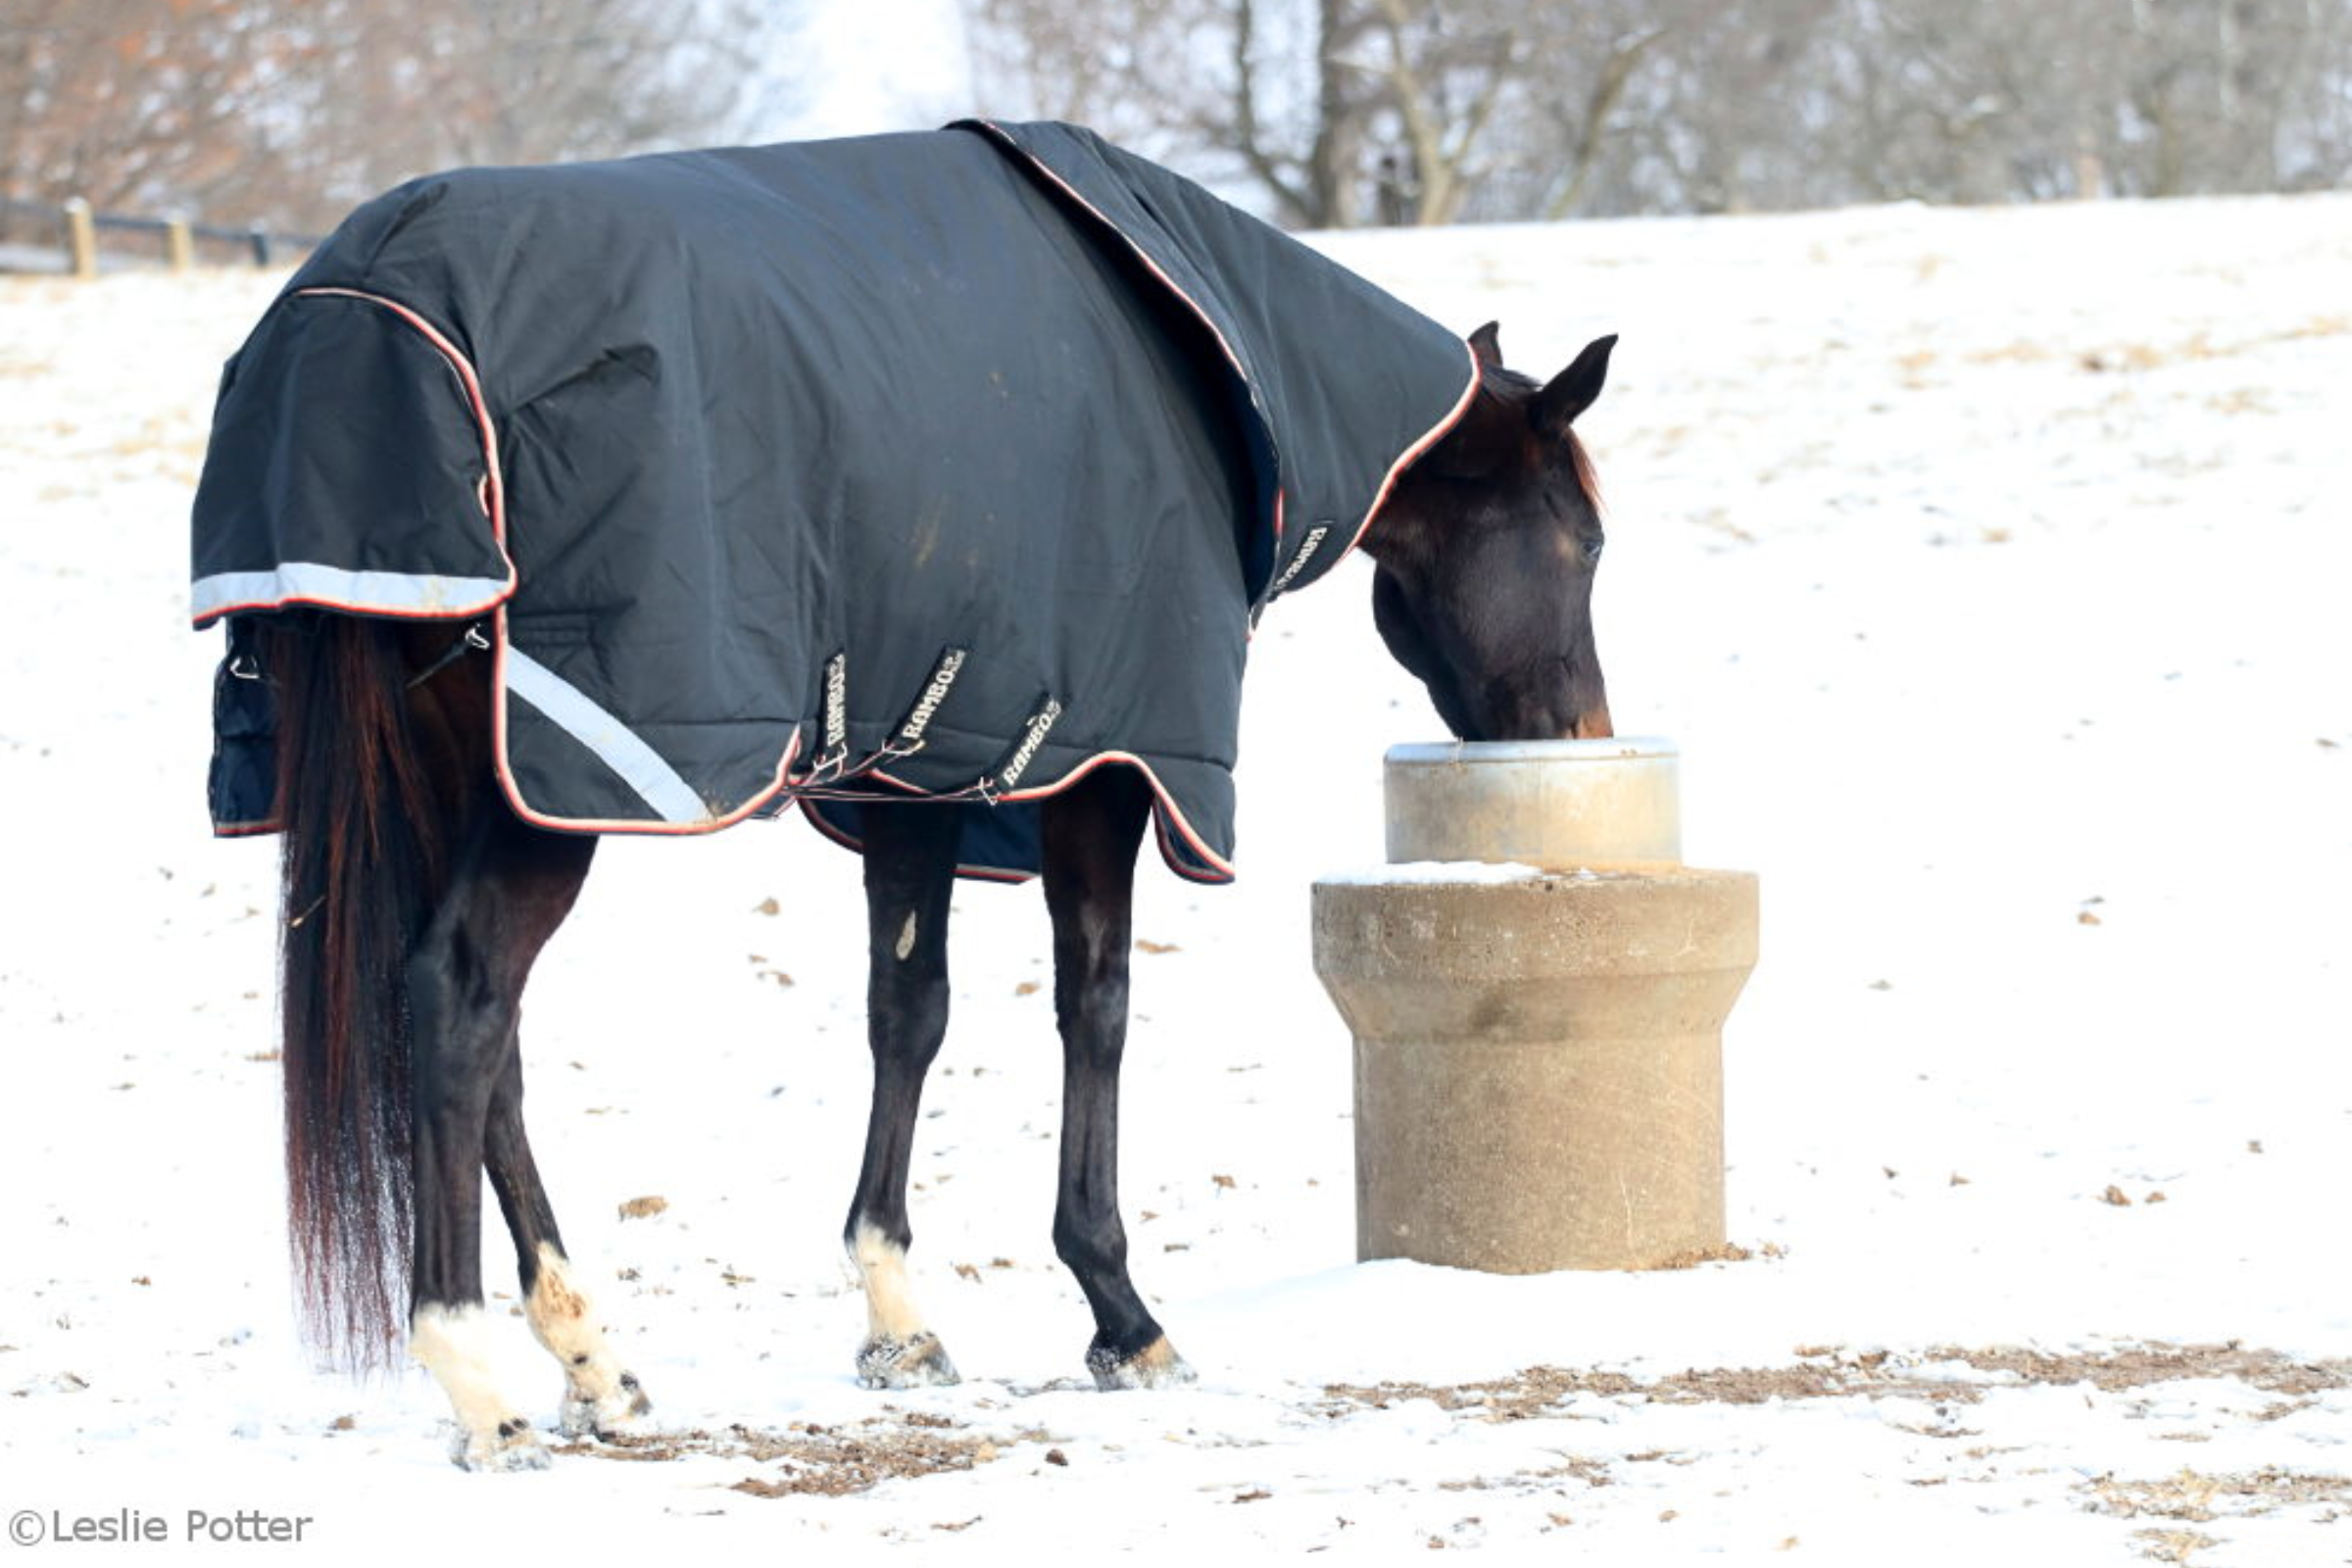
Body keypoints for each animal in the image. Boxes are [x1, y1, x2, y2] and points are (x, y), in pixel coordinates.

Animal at [193, 126, 1615, 1471]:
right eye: (1589, 540)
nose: (1584, 736)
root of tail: (356, 318)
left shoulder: (925, 769)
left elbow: (907, 1011)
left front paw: (896, 1321)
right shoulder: (1107, 767)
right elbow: (1096, 1006)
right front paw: (1121, 1313)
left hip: (473, 790)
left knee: (489, 1046)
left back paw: (592, 1365)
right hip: (552, 795)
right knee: (457, 1002)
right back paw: (480, 1389)